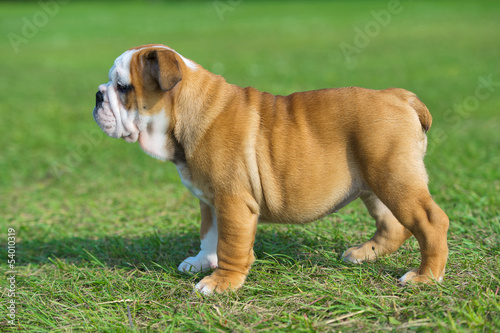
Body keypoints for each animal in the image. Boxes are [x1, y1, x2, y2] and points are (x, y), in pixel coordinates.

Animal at [93, 43, 450, 294]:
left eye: (123, 87)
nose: (98, 94)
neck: (187, 112)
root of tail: (399, 96)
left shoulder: (233, 202)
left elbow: (230, 244)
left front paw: (221, 282)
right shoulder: (210, 201)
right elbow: (209, 235)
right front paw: (201, 262)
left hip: (394, 177)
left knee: (430, 222)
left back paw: (425, 276)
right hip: (375, 183)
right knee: (393, 225)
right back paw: (363, 254)